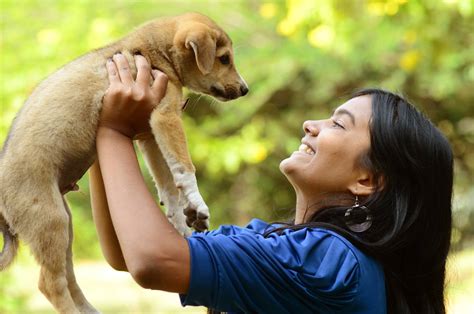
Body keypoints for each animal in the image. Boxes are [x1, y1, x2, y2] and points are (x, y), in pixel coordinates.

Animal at [0, 12, 250, 314]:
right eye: (224, 59)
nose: (245, 89)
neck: (152, 53)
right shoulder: (165, 118)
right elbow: (185, 168)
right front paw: (197, 204)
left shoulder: (149, 134)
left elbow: (168, 184)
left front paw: (179, 223)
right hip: (51, 220)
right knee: (50, 284)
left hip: (63, 225)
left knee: (67, 278)